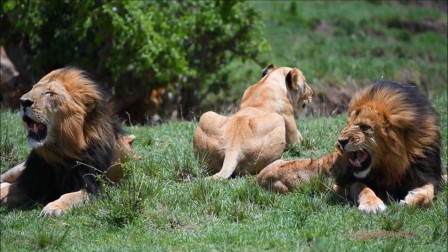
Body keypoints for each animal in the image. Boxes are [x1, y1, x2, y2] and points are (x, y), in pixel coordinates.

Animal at [0, 67, 138, 217]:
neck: (61, 151)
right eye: (33, 88)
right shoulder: (32, 182)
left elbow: (69, 196)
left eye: (49, 93)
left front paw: (53, 208)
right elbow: (6, 191)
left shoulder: (93, 189)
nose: (23, 101)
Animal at [258, 80, 442, 213]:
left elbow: (429, 190)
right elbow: (364, 188)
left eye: (364, 127)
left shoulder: (426, 173)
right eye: (348, 123)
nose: (341, 141)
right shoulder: (344, 183)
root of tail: (257, 178)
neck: (392, 165)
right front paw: (372, 205)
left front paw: (412, 199)